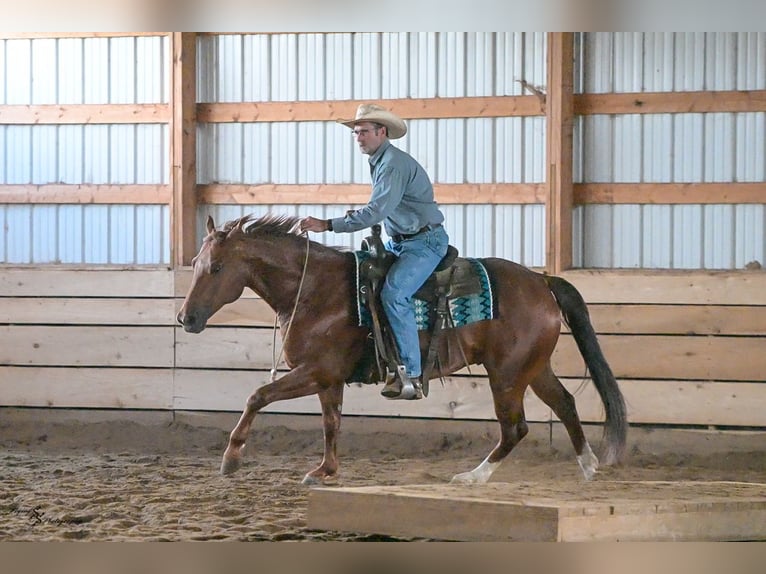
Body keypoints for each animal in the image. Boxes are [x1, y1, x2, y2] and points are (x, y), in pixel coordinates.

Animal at [177, 213, 627, 485]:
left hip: (507, 375)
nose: (186, 318)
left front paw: (232, 457)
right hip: (531, 368)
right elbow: (331, 423)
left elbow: (257, 396)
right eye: (195, 264)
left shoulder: (314, 371)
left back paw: (473, 477)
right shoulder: (329, 378)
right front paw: (325, 470)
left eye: (216, 267)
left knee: (515, 427)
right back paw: (589, 465)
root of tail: (542, 281)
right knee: (565, 403)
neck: (315, 290)